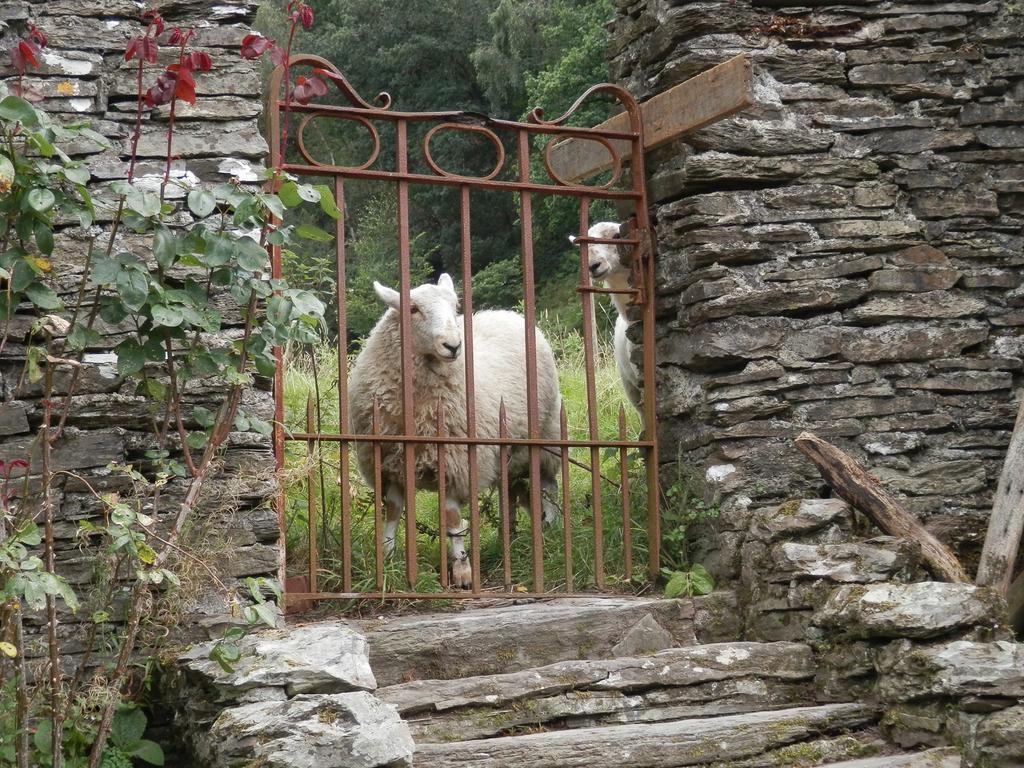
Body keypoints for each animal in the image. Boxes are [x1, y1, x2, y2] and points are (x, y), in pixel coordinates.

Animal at [350, 274, 561, 589]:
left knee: (547, 483)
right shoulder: (393, 465)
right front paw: (386, 558)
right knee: (511, 489)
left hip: (546, 434)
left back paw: (549, 525)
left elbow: (451, 520)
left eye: (455, 307)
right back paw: (510, 534)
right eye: (412, 309)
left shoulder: (455, 460)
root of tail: (507, 314)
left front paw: (462, 571)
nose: (453, 345)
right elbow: (393, 512)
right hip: (507, 451)